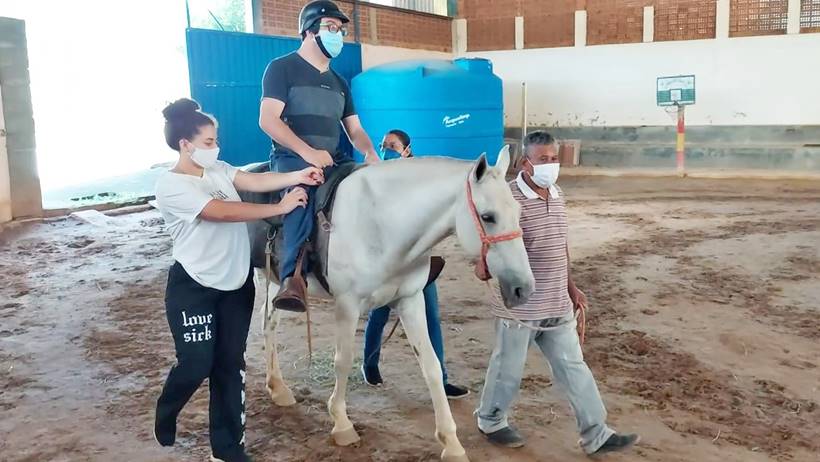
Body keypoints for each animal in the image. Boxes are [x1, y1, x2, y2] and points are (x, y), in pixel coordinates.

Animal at [260, 148, 536, 462]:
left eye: (519, 212)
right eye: (488, 216)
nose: (524, 288)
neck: (380, 222)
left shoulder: (410, 300)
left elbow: (431, 365)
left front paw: (451, 443)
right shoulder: (347, 305)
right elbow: (342, 361)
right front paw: (342, 424)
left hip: (273, 282)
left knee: (268, 325)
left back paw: (278, 388)